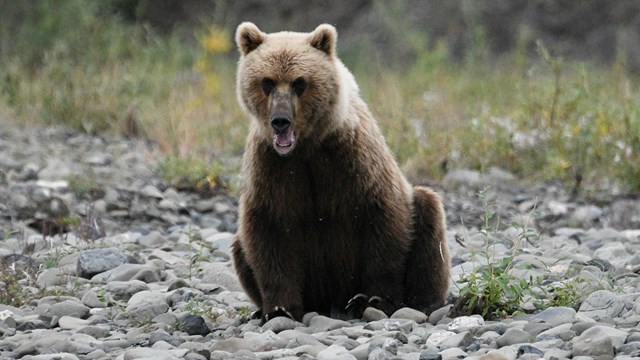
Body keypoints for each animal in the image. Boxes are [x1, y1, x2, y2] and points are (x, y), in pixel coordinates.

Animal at [231, 21, 450, 320]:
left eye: (299, 82)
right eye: (267, 82)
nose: (280, 120)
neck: (307, 146)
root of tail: (330, 299)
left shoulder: (352, 160)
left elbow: (384, 221)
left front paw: (377, 299)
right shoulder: (273, 168)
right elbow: (270, 231)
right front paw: (280, 308)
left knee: (428, 216)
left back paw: (419, 301)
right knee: (238, 245)